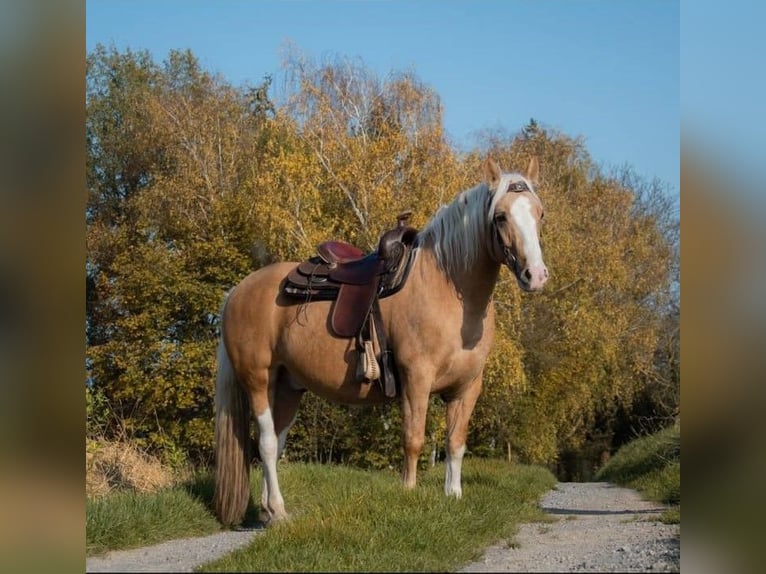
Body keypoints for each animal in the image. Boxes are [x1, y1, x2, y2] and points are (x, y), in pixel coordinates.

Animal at [213, 157, 549, 526]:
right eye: (500, 216)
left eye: (540, 213)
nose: (535, 275)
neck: (446, 289)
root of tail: (237, 291)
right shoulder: (416, 378)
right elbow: (413, 438)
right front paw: (409, 493)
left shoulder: (468, 387)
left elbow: (456, 442)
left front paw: (453, 494)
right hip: (257, 378)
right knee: (267, 443)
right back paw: (279, 509)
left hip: (287, 385)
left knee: (276, 438)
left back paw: (269, 510)